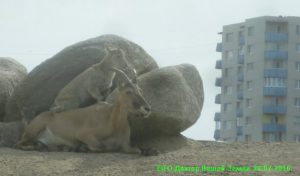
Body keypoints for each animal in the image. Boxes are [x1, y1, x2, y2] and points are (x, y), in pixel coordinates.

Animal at [14, 67, 150, 154]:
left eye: (140, 91)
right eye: (128, 92)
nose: (147, 109)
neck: (114, 122)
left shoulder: (127, 146)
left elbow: (138, 150)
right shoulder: (83, 134)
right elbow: (100, 146)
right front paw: (82, 147)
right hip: (33, 130)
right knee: (18, 144)